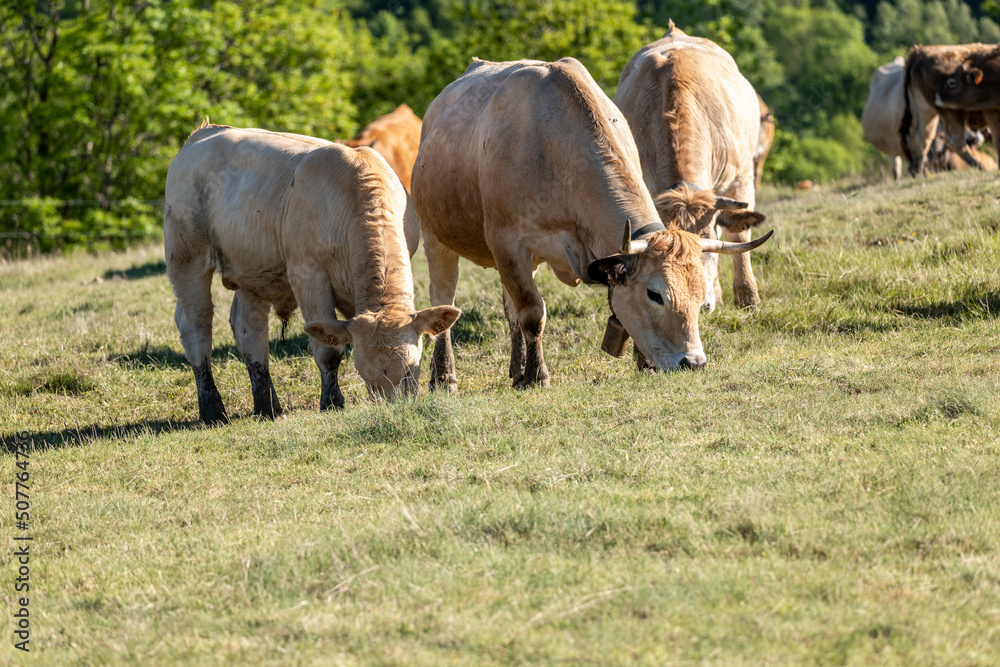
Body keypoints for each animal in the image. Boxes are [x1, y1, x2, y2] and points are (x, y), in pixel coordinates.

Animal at [164, 123, 460, 425]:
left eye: (412, 370)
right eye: (368, 379)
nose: (395, 409)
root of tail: (204, 133)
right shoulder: (307, 274)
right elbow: (328, 351)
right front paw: (331, 402)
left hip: (252, 274)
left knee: (249, 330)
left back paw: (267, 406)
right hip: (186, 256)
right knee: (196, 326)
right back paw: (212, 409)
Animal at [411, 57, 771, 390]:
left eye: (700, 299)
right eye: (655, 295)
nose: (693, 362)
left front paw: (643, 362)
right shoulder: (509, 243)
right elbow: (532, 313)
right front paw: (538, 376)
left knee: (508, 307)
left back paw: (515, 370)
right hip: (436, 239)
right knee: (444, 300)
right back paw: (444, 376)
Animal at [901, 44, 1000, 175]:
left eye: (952, 82)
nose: (938, 97)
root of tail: (919, 53)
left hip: (925, 111)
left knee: (922, 140)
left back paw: (919, 174)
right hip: (949, 113)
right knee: (955, 141)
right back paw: (981, 166)